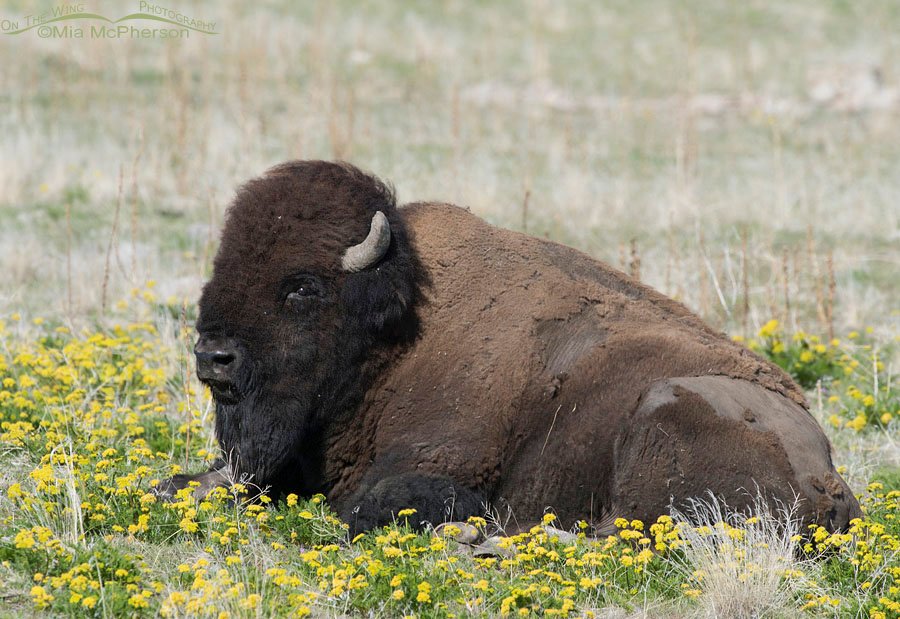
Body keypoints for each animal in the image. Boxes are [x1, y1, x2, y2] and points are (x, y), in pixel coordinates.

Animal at [156, 160, 860, 535]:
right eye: (221, 266)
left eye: (302, 288)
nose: (212, 357)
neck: (396, 334)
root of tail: (830, 481)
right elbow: (188, 483)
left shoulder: (441, 460)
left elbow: (365, 506)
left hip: (663, 410)